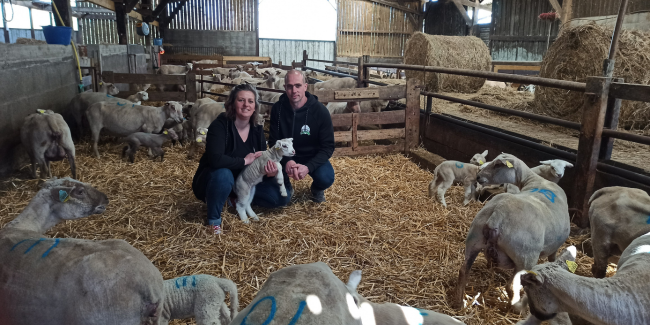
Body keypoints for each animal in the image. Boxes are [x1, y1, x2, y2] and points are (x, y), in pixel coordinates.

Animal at [450, 153, 568, 310]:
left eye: (497, 165)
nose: (478, 176)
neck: (534, 181)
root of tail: (497, 214)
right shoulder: (554, 247)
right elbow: (553, 257)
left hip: (473, 240)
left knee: (464, 271)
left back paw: (458, 303)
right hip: (525, 258)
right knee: (511, 287)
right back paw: (516, 308)